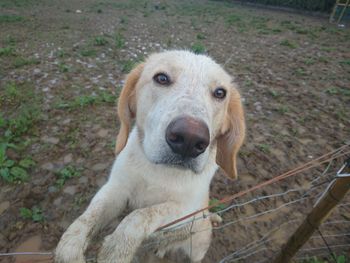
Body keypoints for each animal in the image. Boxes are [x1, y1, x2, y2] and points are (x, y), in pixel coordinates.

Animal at [55, 50, 246, 262]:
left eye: (220, 93)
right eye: (161, 78)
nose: (190, 139)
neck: (158, 172)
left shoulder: (186, 209)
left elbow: (141, 215)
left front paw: (117, 248)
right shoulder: (116, 189)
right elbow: (88, 217)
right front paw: (70, 248)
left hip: (198, 247)